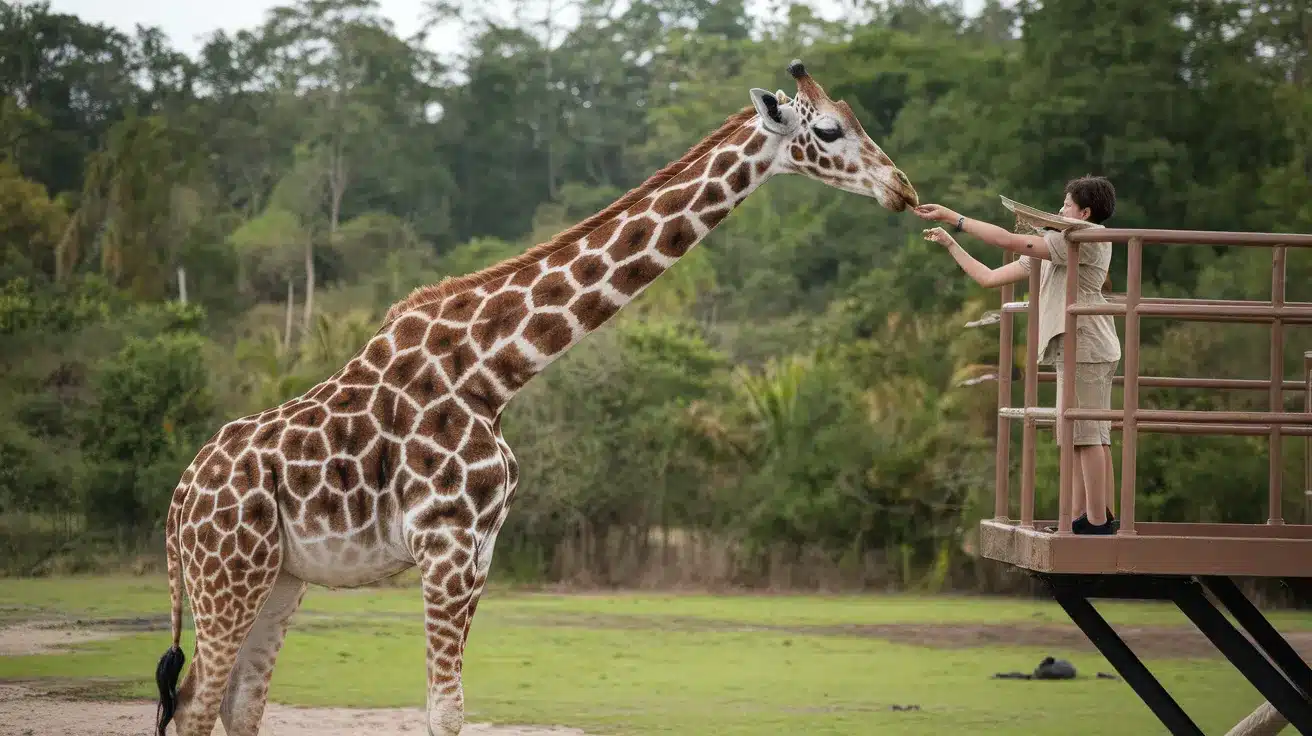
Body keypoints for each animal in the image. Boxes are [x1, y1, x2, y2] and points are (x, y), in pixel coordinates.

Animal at [153, 58, 923, 734]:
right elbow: (444, 711)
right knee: (194, 704)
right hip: (228, 574)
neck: (494, 371)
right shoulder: (445, 542)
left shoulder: (481, 550)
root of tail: (179, 501)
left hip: (279, 578)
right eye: (830, 130)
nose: (904, 190)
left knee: (236, 704)